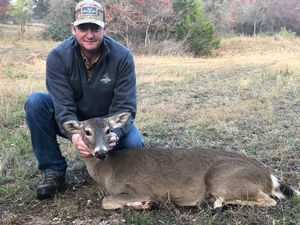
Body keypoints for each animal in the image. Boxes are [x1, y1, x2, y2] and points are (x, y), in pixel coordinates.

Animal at [62, 112, 298, 211]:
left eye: (108, 130)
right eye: (87, 131)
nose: (101, 152)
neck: (108, 171)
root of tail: (268, 176)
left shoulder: (141, 189)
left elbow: (106, 201)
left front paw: (145, 204)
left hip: (223, 179)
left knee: (270, 201)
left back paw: (213, 203)